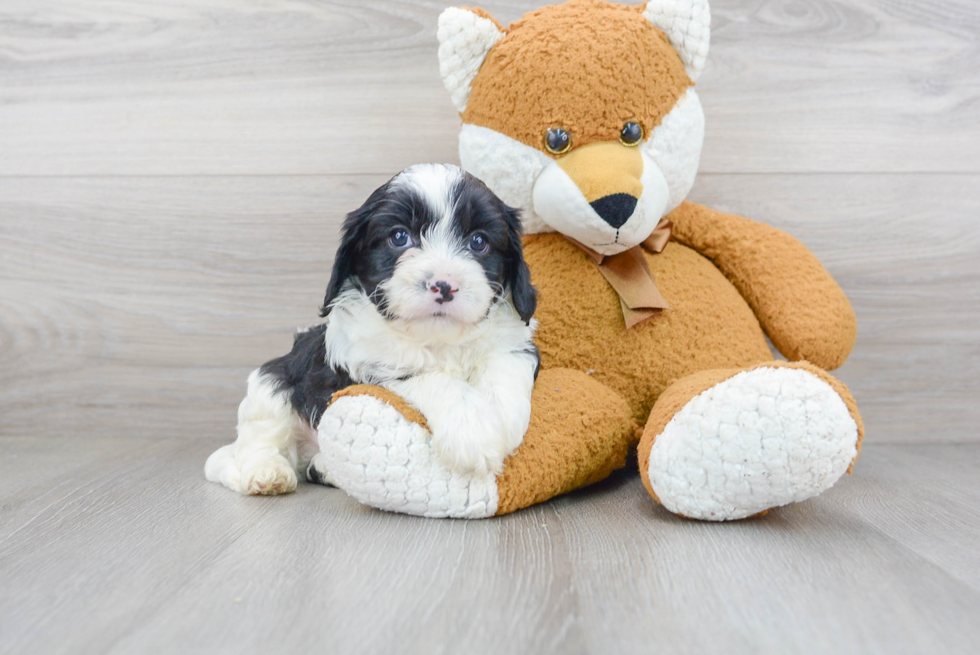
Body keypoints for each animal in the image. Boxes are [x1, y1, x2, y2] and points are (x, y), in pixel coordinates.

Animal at [204, 165, 540, 498]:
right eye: (399, 237)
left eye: (478, 242)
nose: (444, 285)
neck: (436, 339)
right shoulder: (371, 361)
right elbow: (430, 377)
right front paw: (473, 430)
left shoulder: (513, 343)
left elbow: (504, 369)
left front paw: (501, 421)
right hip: (271, 387)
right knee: (254, 444)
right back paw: (266, 474)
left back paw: (323, 467)